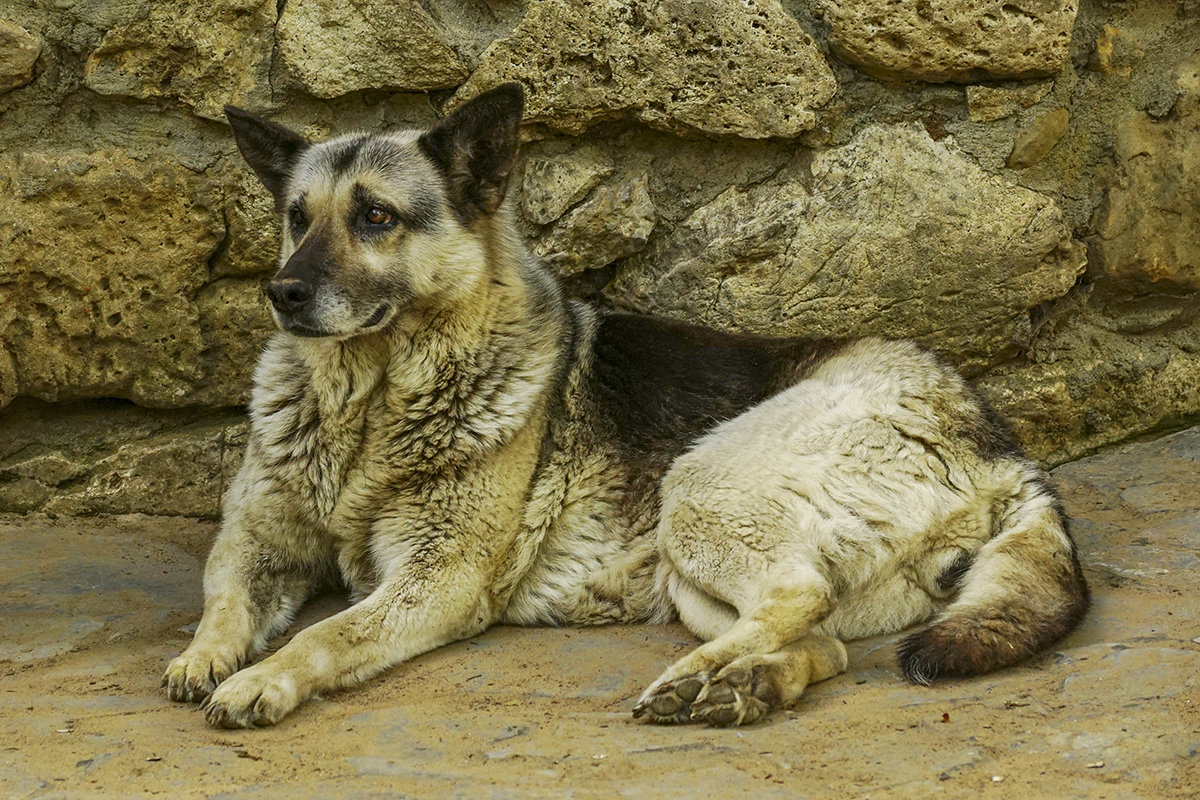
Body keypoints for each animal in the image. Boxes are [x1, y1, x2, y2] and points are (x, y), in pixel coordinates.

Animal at [159, 84, 1089, 729]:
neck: (370, 403)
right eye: (297, 218)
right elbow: (225, 599)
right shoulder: (255, 540)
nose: (283, 294)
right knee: (817, 636)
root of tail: (1002, 444)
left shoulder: (436, 579)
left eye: (376, 218)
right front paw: (207, 658)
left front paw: (261, 679)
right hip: (688, 572)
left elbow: (327, 635)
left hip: (702, 487)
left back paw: (694, 679)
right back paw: (742, 684)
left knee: (797, 595)